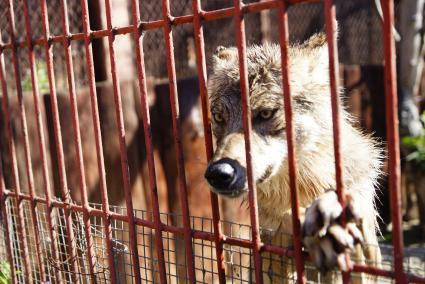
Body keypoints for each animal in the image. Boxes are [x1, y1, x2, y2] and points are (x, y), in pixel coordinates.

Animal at [204, 32, 382, 282]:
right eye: (219, 117)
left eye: (266, 113)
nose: (219, 174)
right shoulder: (269, 245)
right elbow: (285, 219)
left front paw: (335, 210)